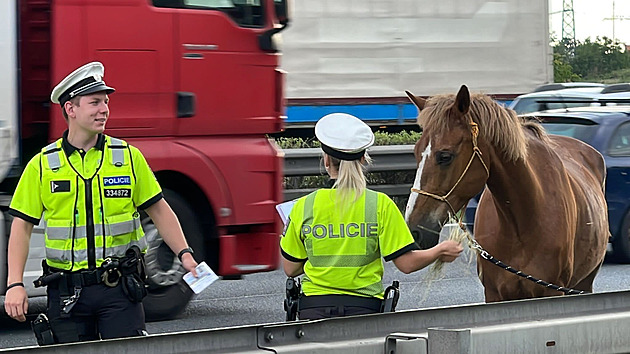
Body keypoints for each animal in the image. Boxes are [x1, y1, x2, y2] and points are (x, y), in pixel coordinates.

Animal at [404, 85, 612, 302]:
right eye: (416, 153)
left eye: (445, 156)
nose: (413, 230)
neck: (521, 223)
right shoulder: (494, 293)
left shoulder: (553, 290)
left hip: (584, 283)